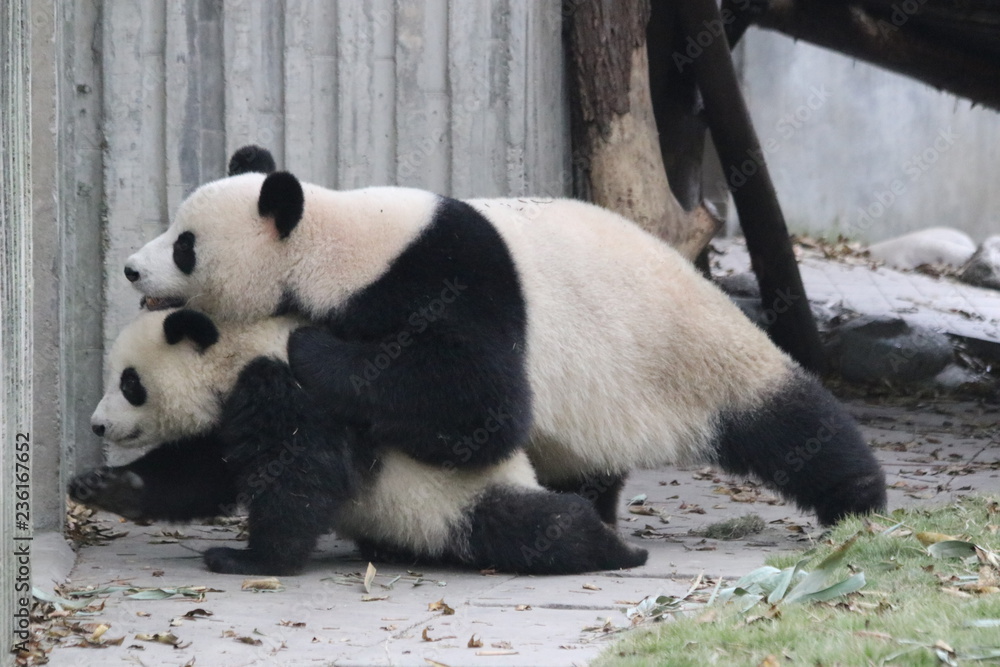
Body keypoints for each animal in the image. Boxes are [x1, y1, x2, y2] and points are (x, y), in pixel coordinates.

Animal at [70, 307, 648, 576]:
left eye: (130, 383)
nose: (97, 425)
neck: (237, 346)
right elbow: (201, 473)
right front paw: (103, 487)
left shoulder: (287, 385)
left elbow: (302, 472)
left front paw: (249, 560)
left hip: (459, 493)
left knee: (530, 525)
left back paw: (617, 548)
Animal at [123, 147, 887, 528]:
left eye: (186, 246)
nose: (131, 266)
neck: (336, 239)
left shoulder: (444, 277)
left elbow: (481, 402)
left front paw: (313, 349)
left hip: (696, 355)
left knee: (791, 423)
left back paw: (859, 500)